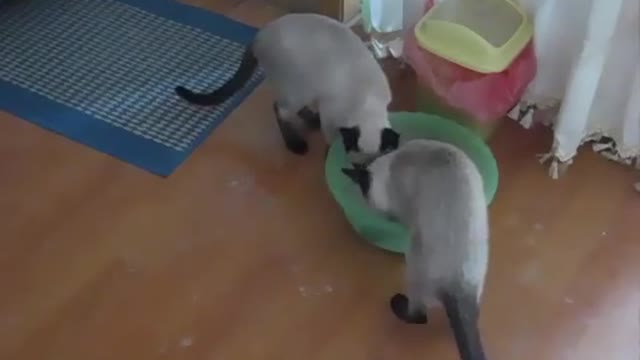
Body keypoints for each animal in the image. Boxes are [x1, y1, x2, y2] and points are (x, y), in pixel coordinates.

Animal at [172, 13, 398, 160]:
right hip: (299, 88)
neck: (367, 104)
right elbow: (330, 137)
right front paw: (329, 154)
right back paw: (295, 144)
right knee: (279, 110)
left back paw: (311, 121)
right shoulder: (331, 114)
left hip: (306, 89)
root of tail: (259, 34)